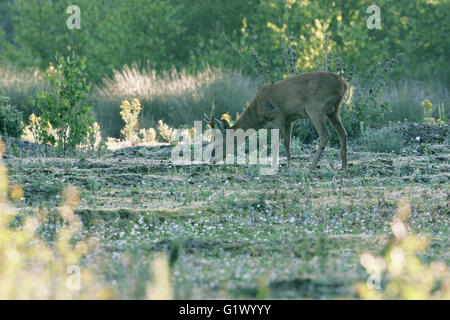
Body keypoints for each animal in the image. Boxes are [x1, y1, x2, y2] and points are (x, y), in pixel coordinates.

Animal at [204, 70, 348, 170]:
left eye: (218, 144)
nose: (211, 160)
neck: (257, 114)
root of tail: (344, 84)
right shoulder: (289, 119)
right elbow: (287, 143)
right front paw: (289, 165)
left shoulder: (279, 114)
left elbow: (275, 143)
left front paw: (274, 165)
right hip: (334, 110)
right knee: (343, 133)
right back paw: (344, 166)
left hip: (315, 108)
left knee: (325, 135)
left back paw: (312, 167)